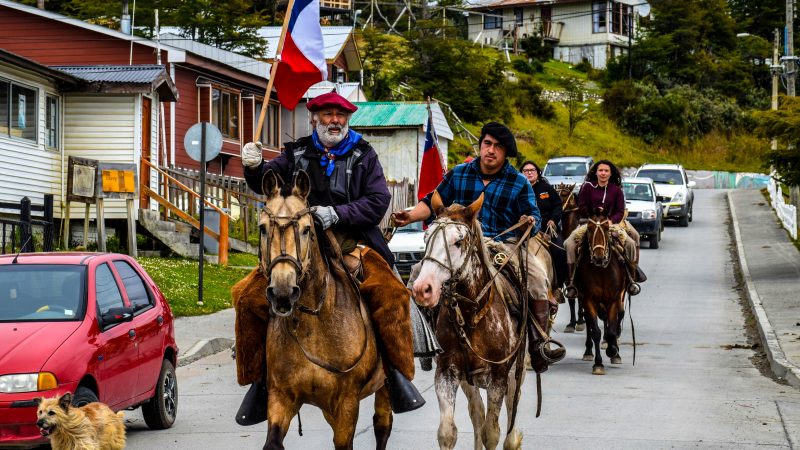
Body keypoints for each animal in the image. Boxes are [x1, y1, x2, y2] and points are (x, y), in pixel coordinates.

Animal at [412, 192, 524, 450]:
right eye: (426, 238)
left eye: (458, 241)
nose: (423, 288)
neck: (472, 314)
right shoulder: (447, 372)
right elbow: (447, 432)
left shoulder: (498, 377)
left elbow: (491, 432)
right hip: (468, 381)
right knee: (477, 413)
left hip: (516, 370)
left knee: (512, 408)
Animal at [576, 211, 632, 376]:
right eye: (589, 227)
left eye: (607, 227)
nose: (599, 257)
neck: (601, 271)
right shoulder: (588, 299)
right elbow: (595, 331)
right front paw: (598, 364)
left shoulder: (615, 298)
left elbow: (613, 328)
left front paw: (613, 352)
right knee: (590, 323)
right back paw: (588, 351)